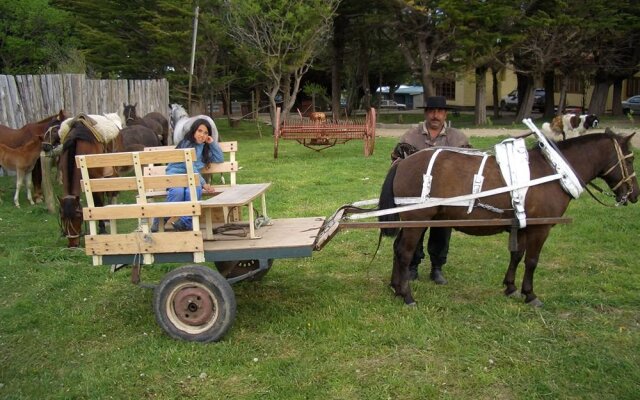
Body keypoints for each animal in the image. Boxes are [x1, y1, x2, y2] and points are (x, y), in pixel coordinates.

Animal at [59, 120, 125, 248]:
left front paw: (102, 229)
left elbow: (98, 202)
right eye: (62, 217)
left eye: (78, 217)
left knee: (112, 192)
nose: (72, 244)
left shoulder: (96, 178)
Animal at [378, 132, 636, 306]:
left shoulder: (521, 226)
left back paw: (396, 287)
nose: (634, 194)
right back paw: (407, 295)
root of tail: (402, 161)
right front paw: (530, 294)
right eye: (631, 159)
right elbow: (532, 260)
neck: (554, 172)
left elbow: (517, 255)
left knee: (397, 249)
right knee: (405, 253)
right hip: (416, 219)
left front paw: (511, 287)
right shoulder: (541, 228)